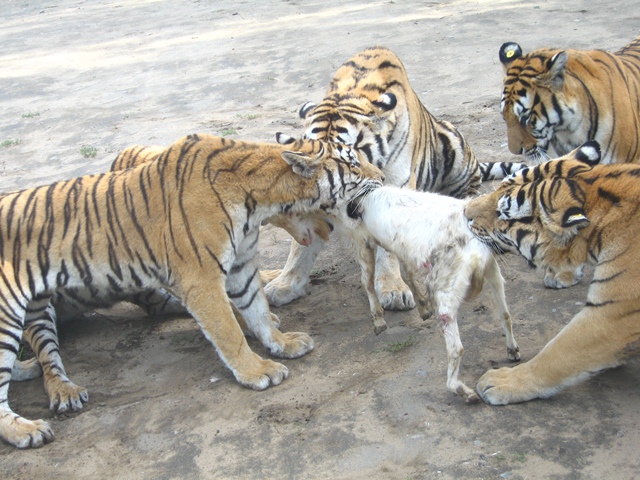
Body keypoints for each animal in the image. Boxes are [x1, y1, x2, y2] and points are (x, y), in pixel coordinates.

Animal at [0, 131, 380, 446]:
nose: (381, 176)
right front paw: (257, 371)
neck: (261, 199)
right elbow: (229, 331)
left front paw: (282, 343)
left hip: (37, 308)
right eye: (351, 162)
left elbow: (256, 309)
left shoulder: (241, 265)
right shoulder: (202, 278)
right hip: (8, 312)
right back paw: (28, 429)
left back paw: (31, 372)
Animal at [264, 47, 524, 314]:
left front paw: (393, 289)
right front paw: (285, 285)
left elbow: (386, 248)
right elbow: (301, 246)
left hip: (452, 142)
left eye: (349, 158)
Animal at [350, 186, 520, 404]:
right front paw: (422, 309)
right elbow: (406, 272)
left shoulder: (363, 241)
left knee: (456, 347)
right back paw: (512, 350)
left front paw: (379, 322)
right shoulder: (398, 249)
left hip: (446, 289)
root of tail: (475, 254)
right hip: (492, 270)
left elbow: (368, 281)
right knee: (505, 314)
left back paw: (461, 390)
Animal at [462, 140, 640, 404]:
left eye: (503, 213)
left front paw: (502, 381)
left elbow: (557, 354)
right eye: (500, 185)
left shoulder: (611, 314)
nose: (464, 211)